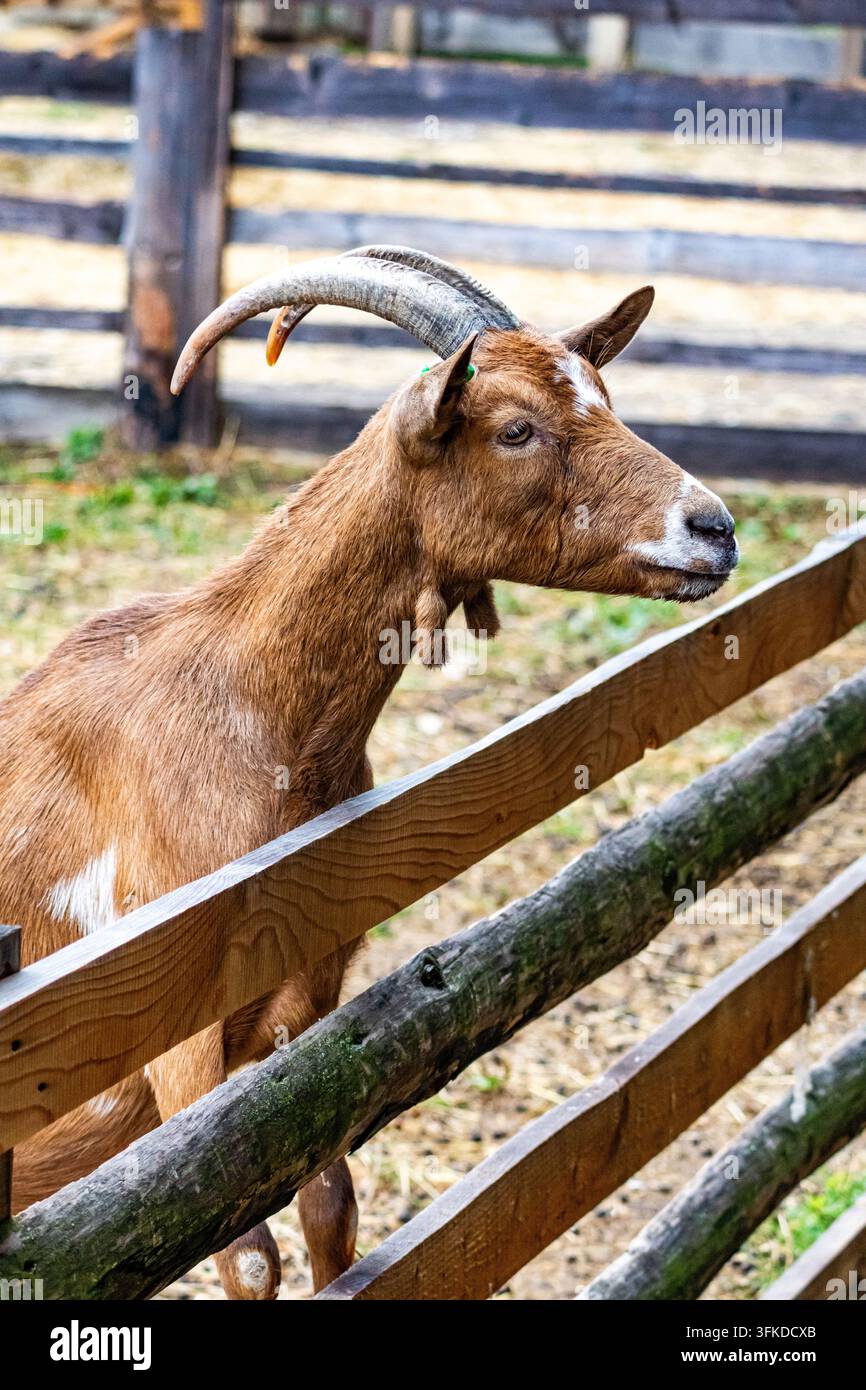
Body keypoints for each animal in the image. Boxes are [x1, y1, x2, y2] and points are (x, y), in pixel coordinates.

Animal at [0, 246, 738, 1299]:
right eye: (516, 428)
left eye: (606, 396)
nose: (713, 528)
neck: (254, 708)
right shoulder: (172, 1035)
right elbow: (249, 1258)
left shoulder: (311, 1006)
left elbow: (330, 1208)